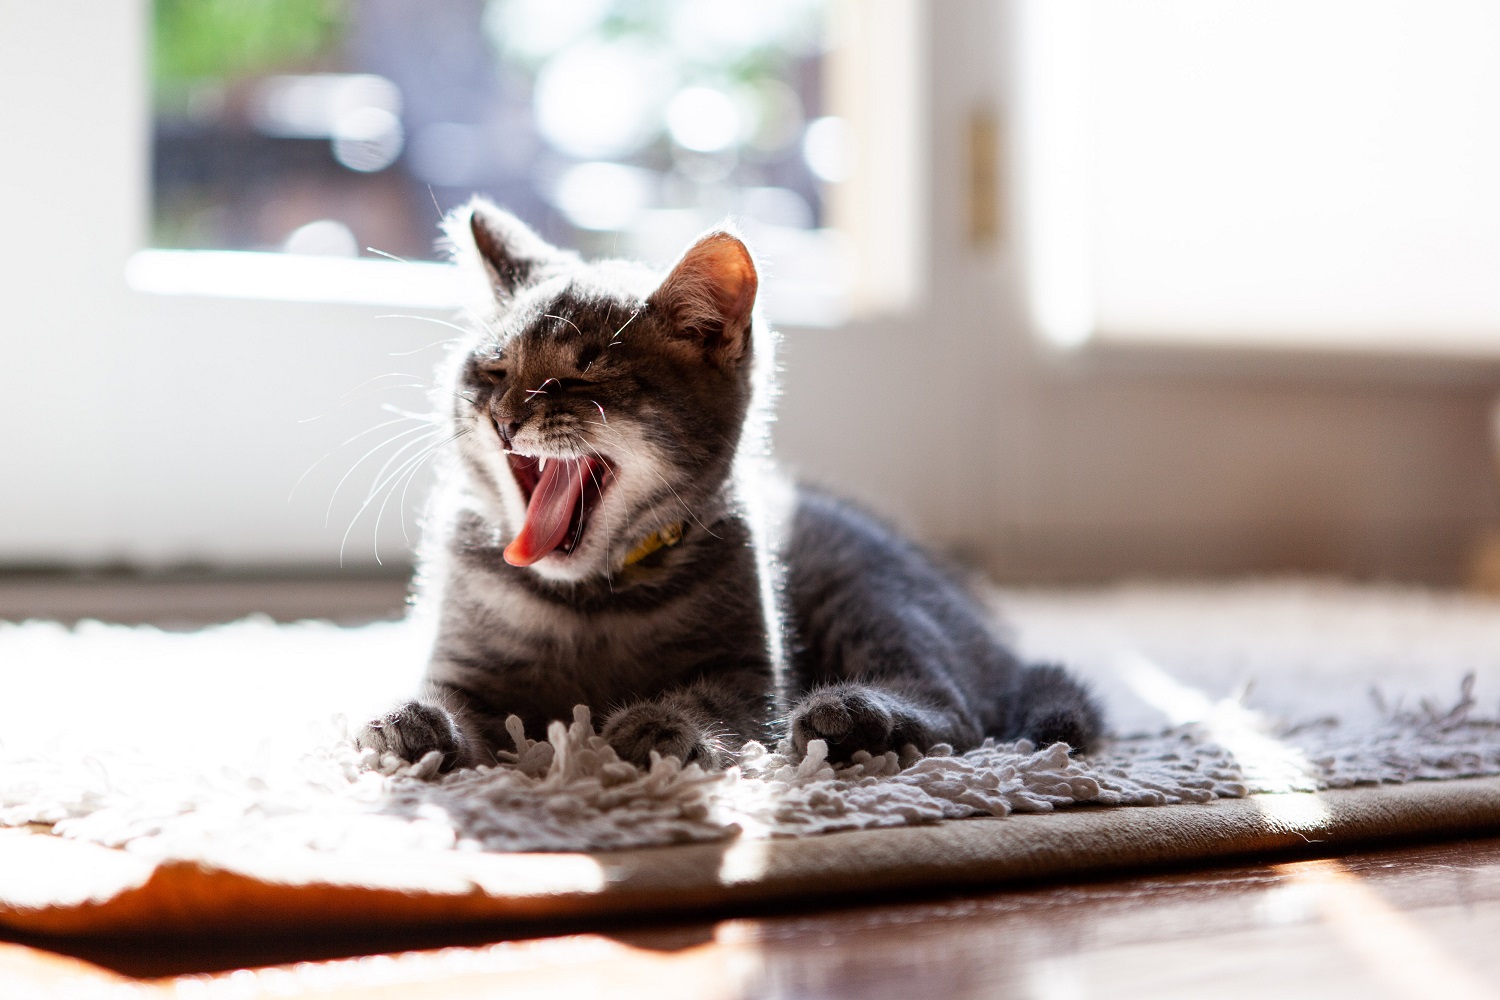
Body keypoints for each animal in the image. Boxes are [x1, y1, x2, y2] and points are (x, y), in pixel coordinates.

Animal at [355, 199, 1098, 773]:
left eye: (583, 374)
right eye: (493, 369)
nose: (504, 416)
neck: (589, 601)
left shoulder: (747, 675)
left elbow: (713, 702)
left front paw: (658, 723)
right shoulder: (465, 669)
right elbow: (455, 702)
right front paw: (413, 721)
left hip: (862, 588)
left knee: (960, 713)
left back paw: (853, 717)